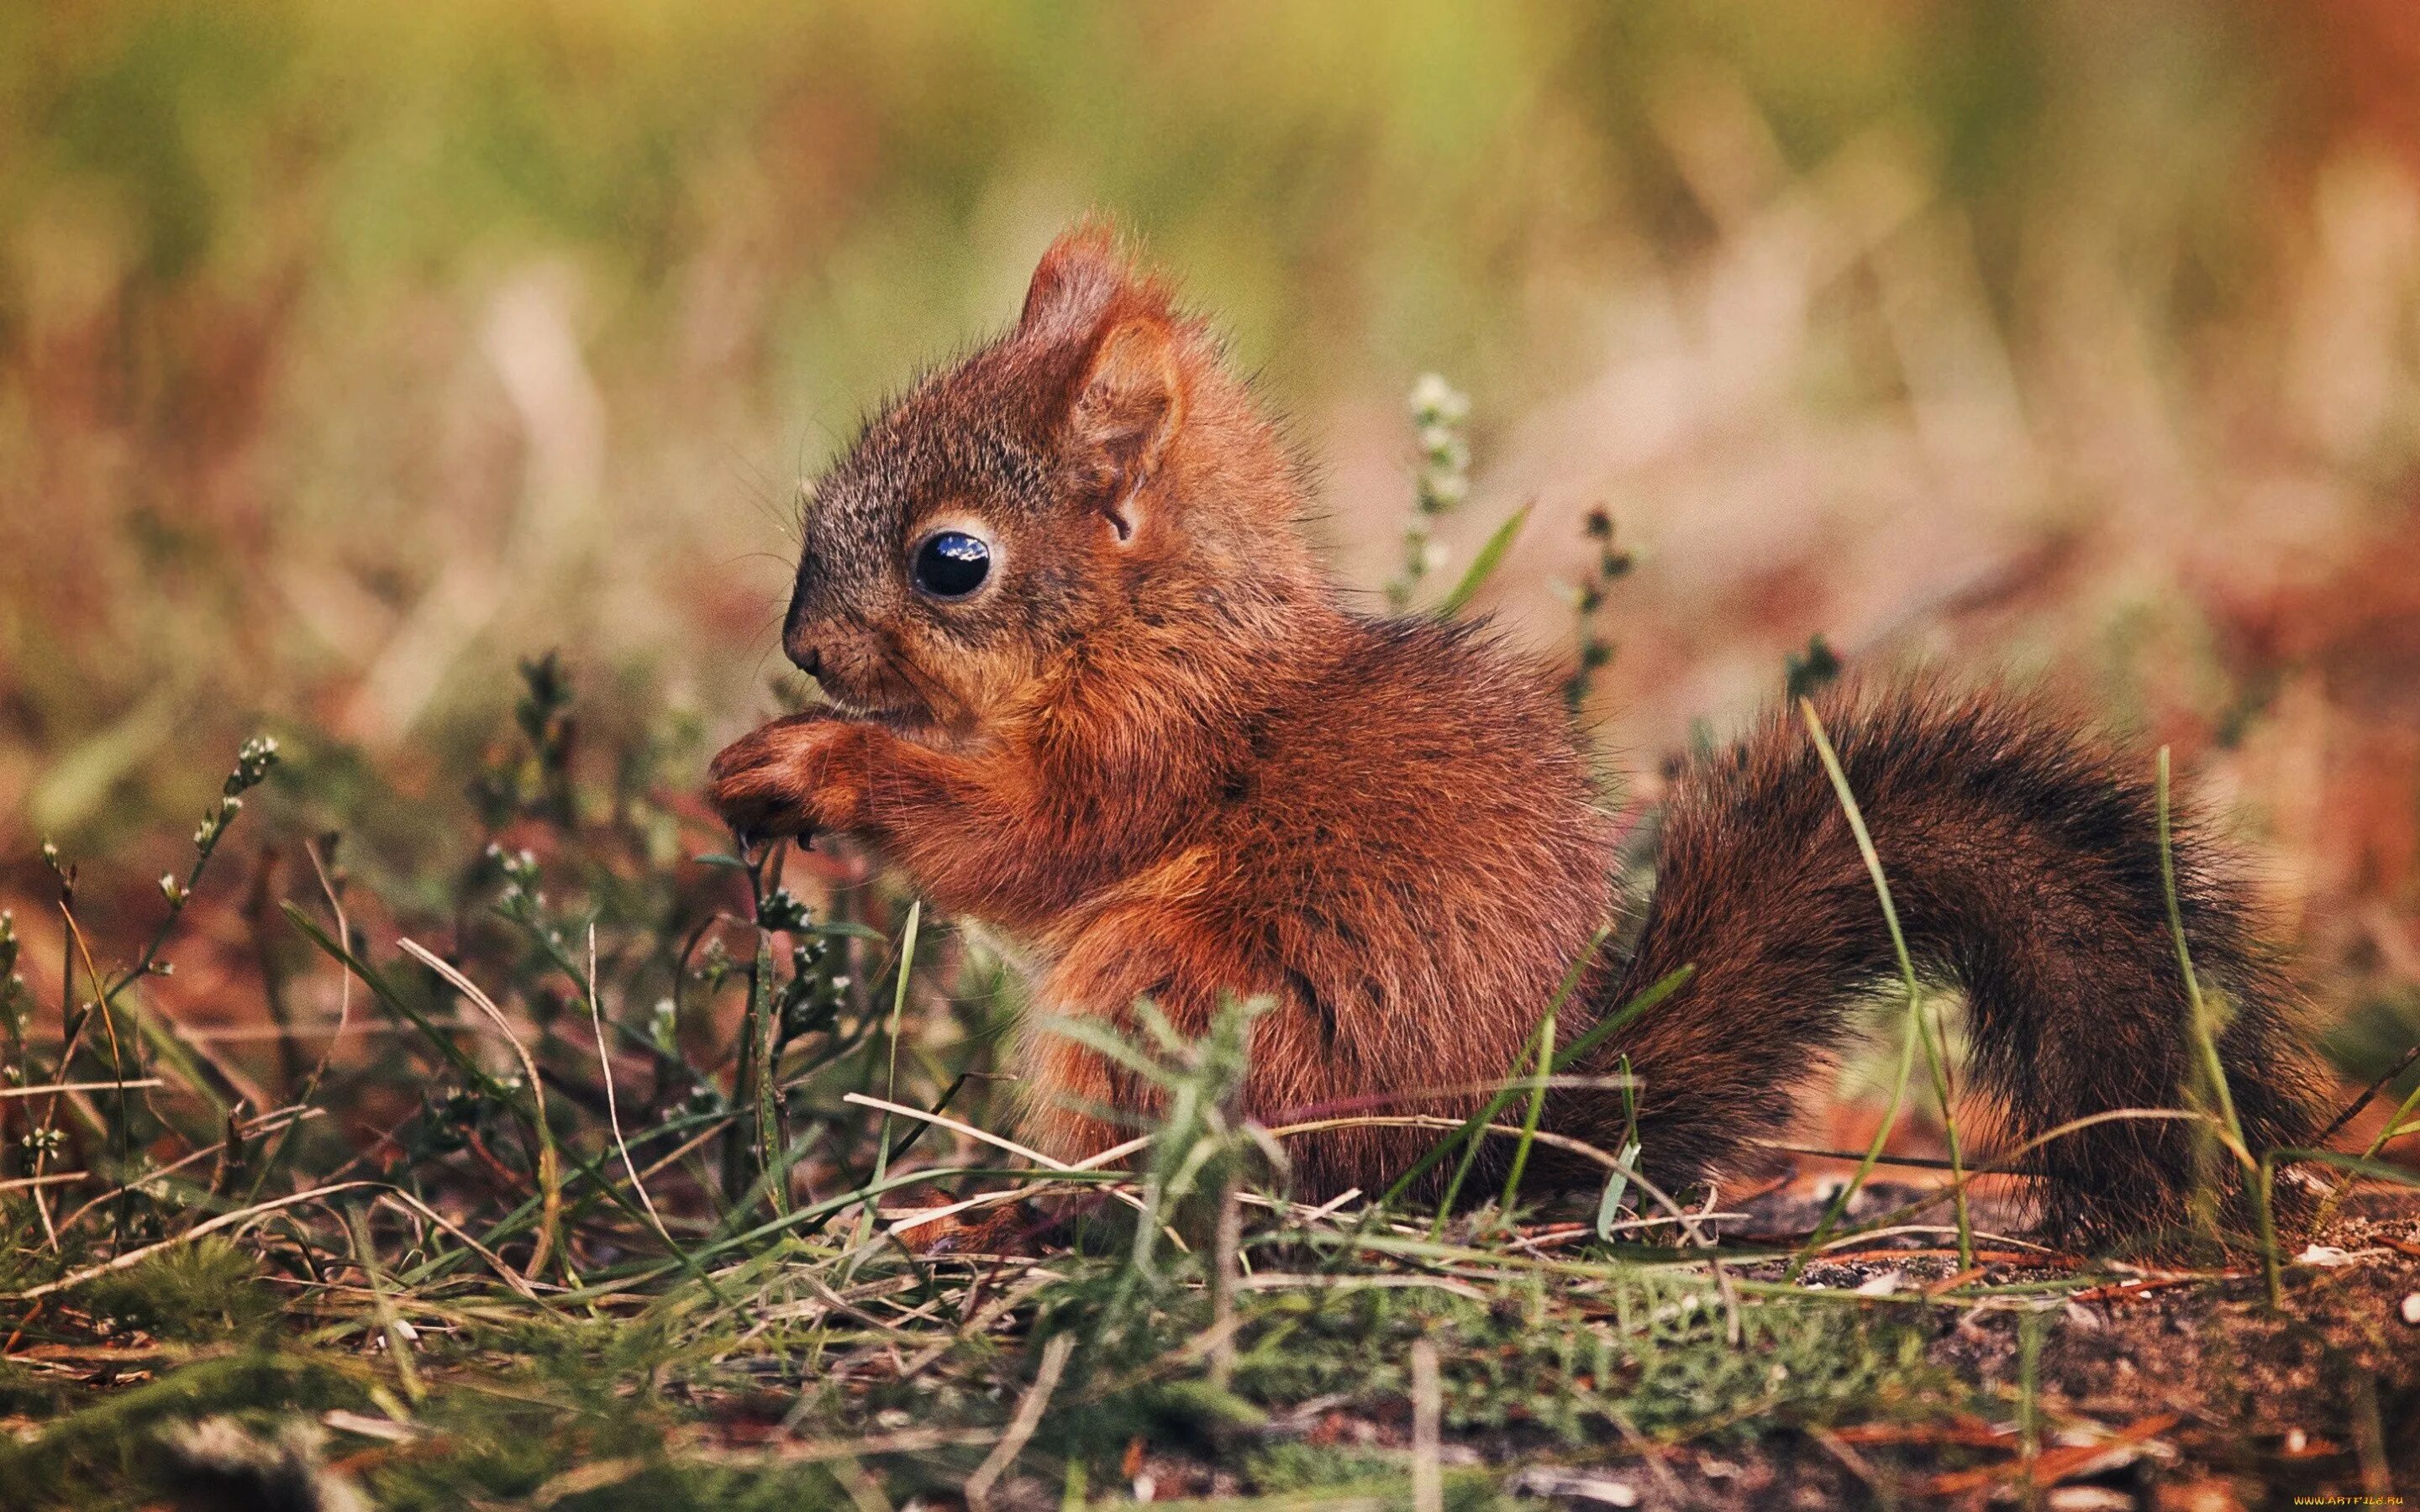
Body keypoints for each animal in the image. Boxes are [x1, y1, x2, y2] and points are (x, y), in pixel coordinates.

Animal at [706, 218, 2323, 1248]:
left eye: (952, 562)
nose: (802, 652)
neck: (1160, 622)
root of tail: (1493, 1137)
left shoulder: (1147, 748)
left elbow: (1021, 839)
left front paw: (811, 766)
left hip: (1163, 990)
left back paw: (1031, 1213)